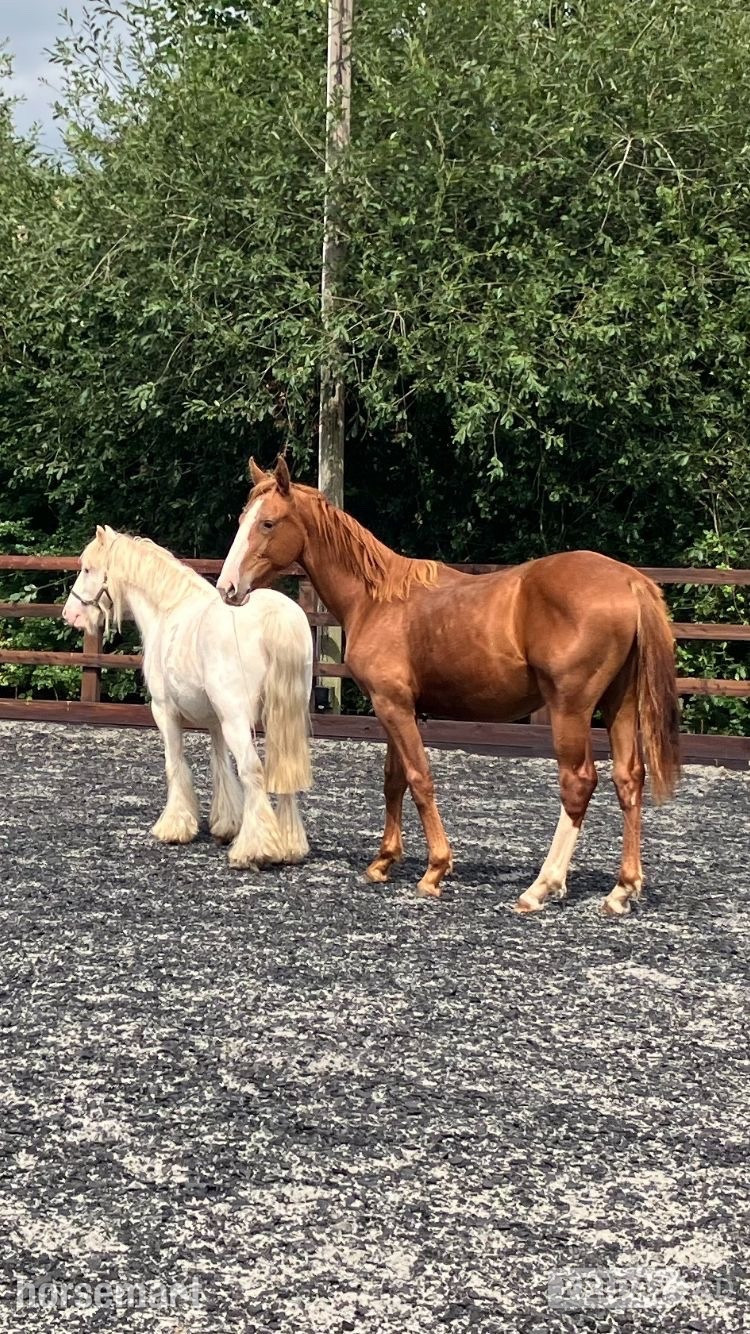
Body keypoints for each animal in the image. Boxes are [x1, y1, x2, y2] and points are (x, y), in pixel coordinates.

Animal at [63, 525, 312, 868]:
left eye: (88, 569)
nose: (69, 614)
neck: (168, 610)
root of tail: (275, 614)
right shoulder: (215, 721)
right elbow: (220, 765)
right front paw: (226, 825)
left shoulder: (164, 712)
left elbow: (176, 764)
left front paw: (174, 828)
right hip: (283, 719)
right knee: (283, 772)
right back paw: (288, 847)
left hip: (238, 721)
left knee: (253, 771)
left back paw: (254, 850)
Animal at [217, 456, 680, 916]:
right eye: (243, 519)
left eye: (268, 523)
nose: (227, 588)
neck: (376, 600)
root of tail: (628, 581)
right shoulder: (395, 708)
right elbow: (394, 780)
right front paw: (383, 862)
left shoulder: (393, 706)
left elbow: (420, 778)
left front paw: (435, 870)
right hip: (620, 705)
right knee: (628, 779)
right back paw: (621, 890)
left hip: (571, 708)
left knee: (578, 783)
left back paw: (541, 887)